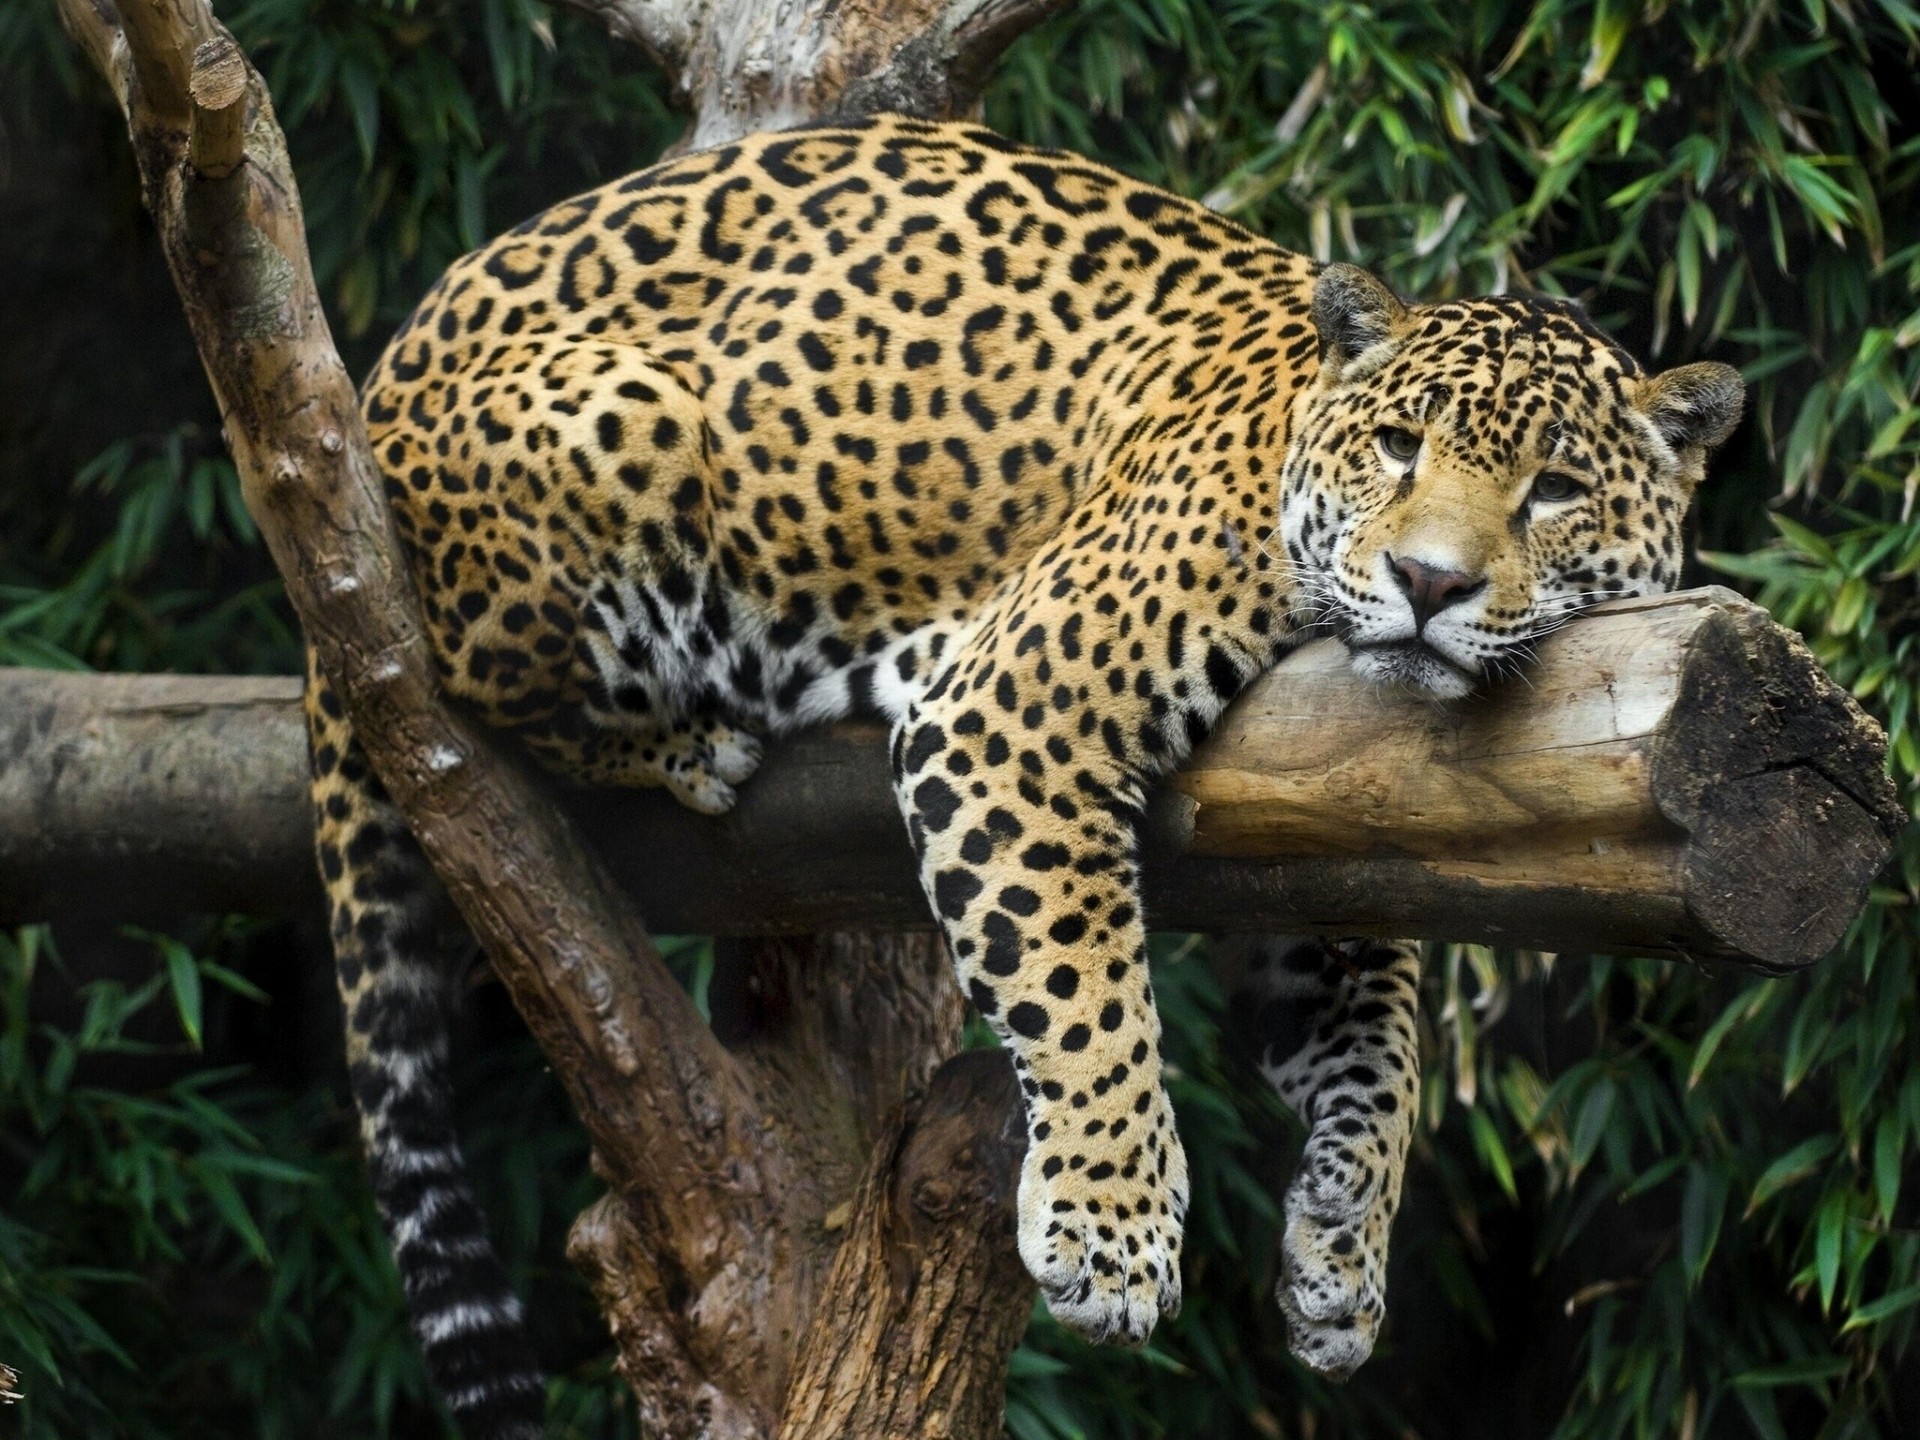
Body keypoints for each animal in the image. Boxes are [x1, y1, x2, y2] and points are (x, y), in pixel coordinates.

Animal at [303, 112, 1744, 1438]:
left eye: (1553, 489)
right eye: (1398, 446)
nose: (1428, 583)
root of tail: (369, 392)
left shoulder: (1311, 833)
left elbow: (1379, 1053)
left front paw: (1341, 1260)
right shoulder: (1012, 709)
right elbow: (1083, 984)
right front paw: (1112, 1234)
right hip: (622, 429)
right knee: (465, 679)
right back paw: (695, 736)